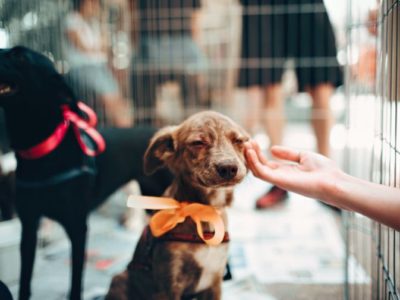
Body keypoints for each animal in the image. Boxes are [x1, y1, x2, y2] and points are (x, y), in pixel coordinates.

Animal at [0, 47, 170, 300]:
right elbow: (25, 280)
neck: (44, 152)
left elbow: (76, 281)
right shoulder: (29, 226)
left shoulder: (78, 227)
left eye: (20, 56)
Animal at [106, 112, 250, 300]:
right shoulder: (169, 283)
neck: (204, 211)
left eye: (238, 141)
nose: (229, 168)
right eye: (198, 143)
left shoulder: (214, 281)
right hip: (120, 280)